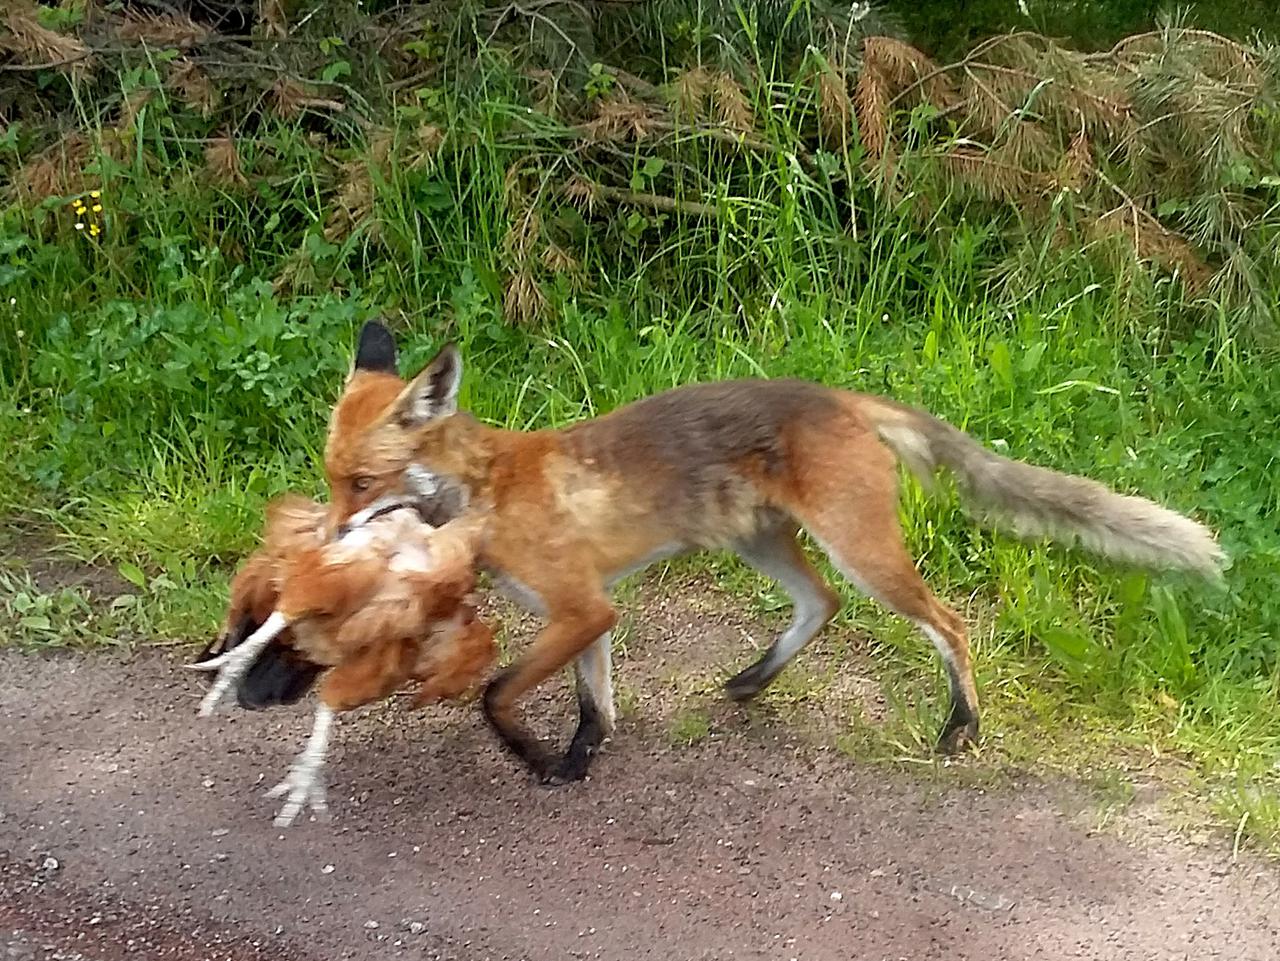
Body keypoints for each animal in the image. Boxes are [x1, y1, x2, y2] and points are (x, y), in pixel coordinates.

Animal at [320, 319, 1218, 783]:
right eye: (329, 478)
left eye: (362, 482)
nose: (324, 543)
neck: (486, 491)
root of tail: (836, 393)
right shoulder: (588, 611)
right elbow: (592, 704)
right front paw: (576, 760)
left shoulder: (579, 606)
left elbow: (496, 694)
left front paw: (537, 758)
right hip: (766, 544)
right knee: (823, 603)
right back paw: (753, 680)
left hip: (862, 551)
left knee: (950, 622)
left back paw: (960, 726)